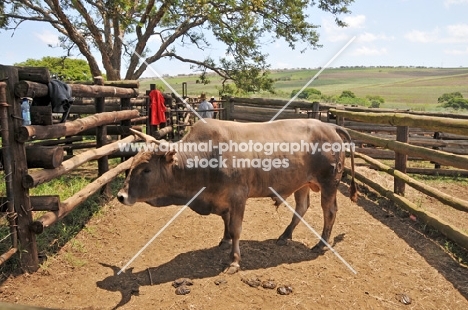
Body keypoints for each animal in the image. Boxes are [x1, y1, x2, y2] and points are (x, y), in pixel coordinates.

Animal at [118, 118, 358, 274]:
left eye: (146, 169)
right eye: (132, 165)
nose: (121, 196)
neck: (207, 155)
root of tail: (330, 126)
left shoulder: (238, 196)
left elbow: (236, 229)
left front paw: (234, 261)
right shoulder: (222, 199)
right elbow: (226, 221)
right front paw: (224, 240)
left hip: (329, 183)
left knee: (329, 211)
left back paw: (321, 243)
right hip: (302, 183)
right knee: (302, 207)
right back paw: (285, 235)